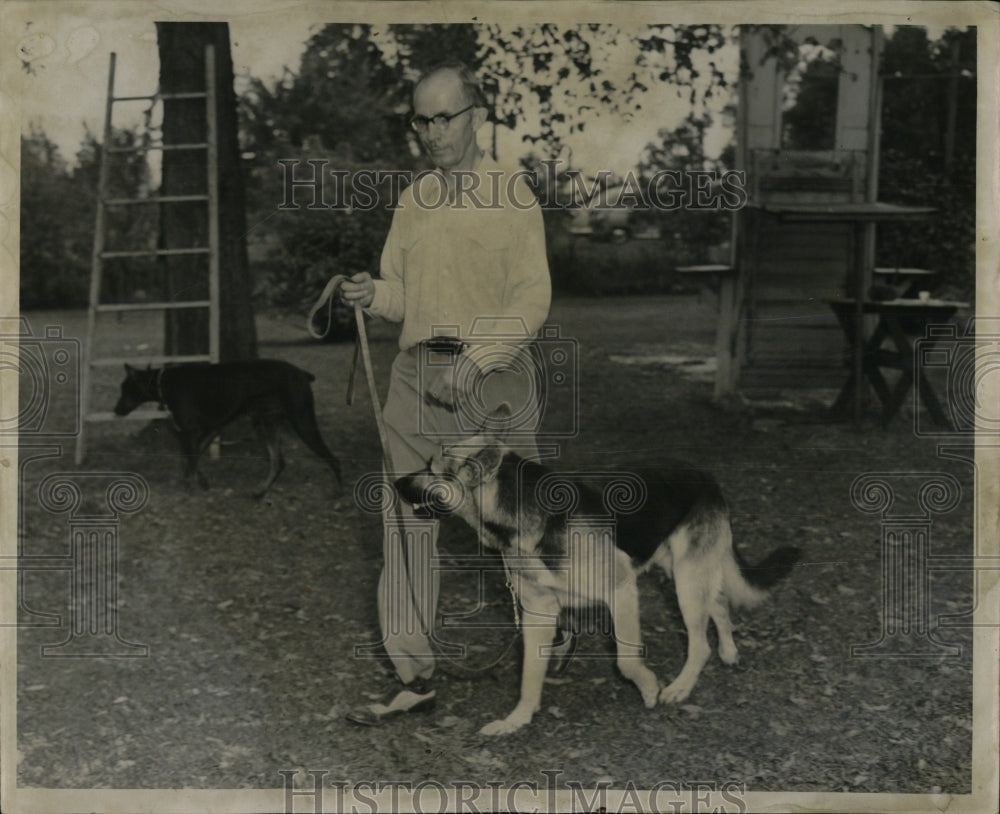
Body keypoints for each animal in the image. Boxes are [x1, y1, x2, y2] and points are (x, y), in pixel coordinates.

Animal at [115, 362, 342, 498]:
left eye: (125, 389)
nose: (116, 410)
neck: (163, 383)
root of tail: (303, 374)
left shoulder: (191, 431)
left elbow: (191, 459)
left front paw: (190, 486)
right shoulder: (212, 428)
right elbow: (193, 458)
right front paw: (201, 481)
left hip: (302, 422)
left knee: (332, 458)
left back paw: (338, 492)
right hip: (265, 424)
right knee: (278, 462)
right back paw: (260, 492)